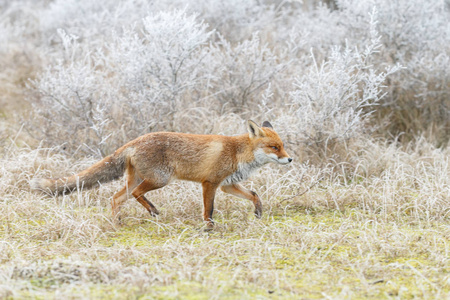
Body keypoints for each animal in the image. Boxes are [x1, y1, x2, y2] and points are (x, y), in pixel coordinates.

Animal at [31, 120, 292, 229]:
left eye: (283, 146)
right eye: (274, 147)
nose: (290, 159)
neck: (238, 153)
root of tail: (134, 141)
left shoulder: (227, 184)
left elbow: (254, 194)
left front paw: (258, 213)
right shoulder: (209, 183)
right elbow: (209, 209)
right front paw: (209, 227)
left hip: (138, 179)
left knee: (115, 198)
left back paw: (117, 223)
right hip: (159, 180)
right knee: (136, 194)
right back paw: (152, 210)